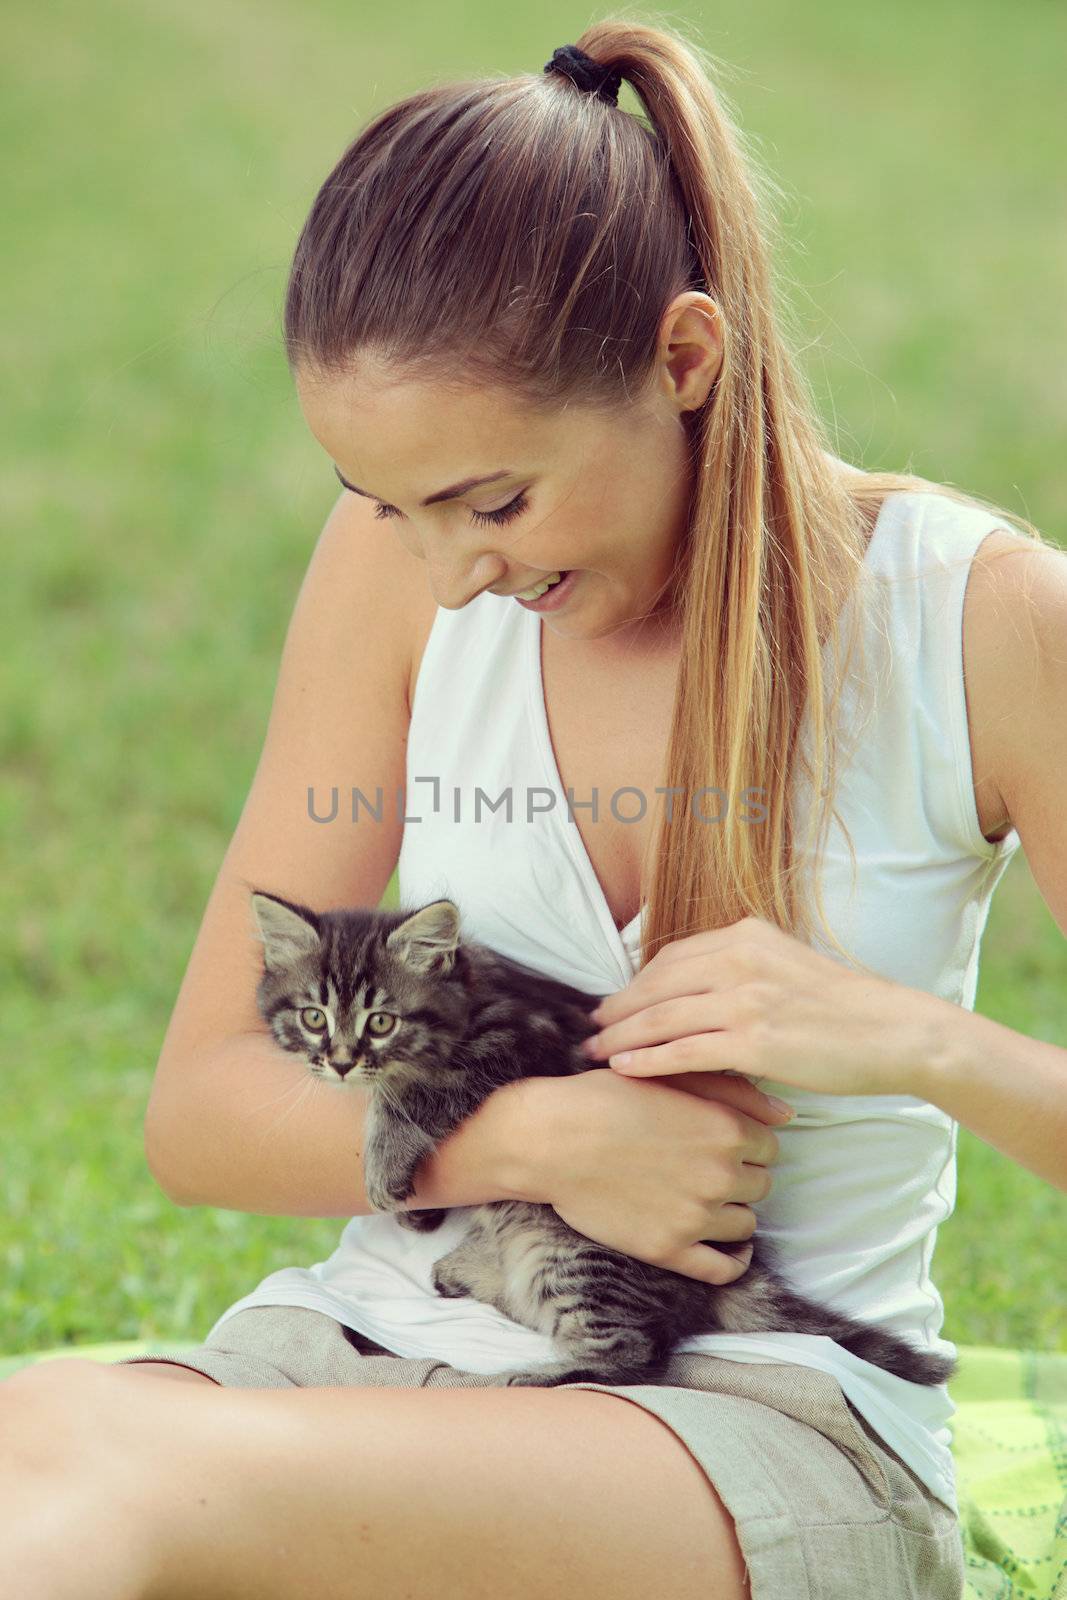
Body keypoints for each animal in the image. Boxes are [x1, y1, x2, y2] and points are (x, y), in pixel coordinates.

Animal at [252, 889, 959, 1388]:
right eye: (313, 1016)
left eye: (381, 1021)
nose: (339, 1061)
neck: (472, 992)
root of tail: (735, 1272)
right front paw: (417, 1209)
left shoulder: (511, 1043)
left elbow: (409, 1092)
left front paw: (384, 1158)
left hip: (573, 1252)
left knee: (636, 1356)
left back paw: (535, 1374)